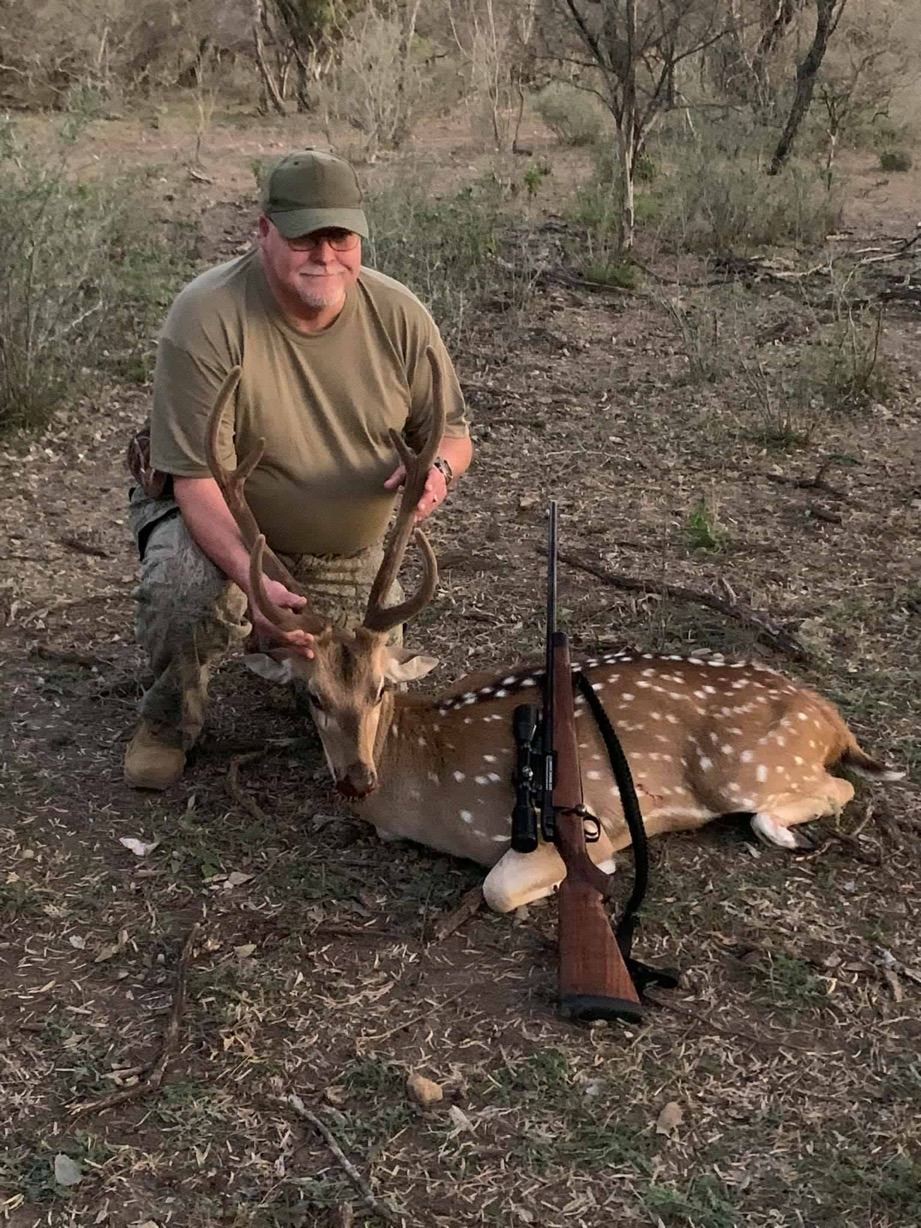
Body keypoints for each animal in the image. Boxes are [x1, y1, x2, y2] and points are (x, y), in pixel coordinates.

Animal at [208, 353, 904, 915]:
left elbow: (501, 886)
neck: (419, 788)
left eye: (380, 688)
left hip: (751, 765)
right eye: (313, 695)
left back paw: (781, 827)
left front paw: (609, 856)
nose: (357, 778)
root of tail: (831, 719)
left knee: (828, 787)